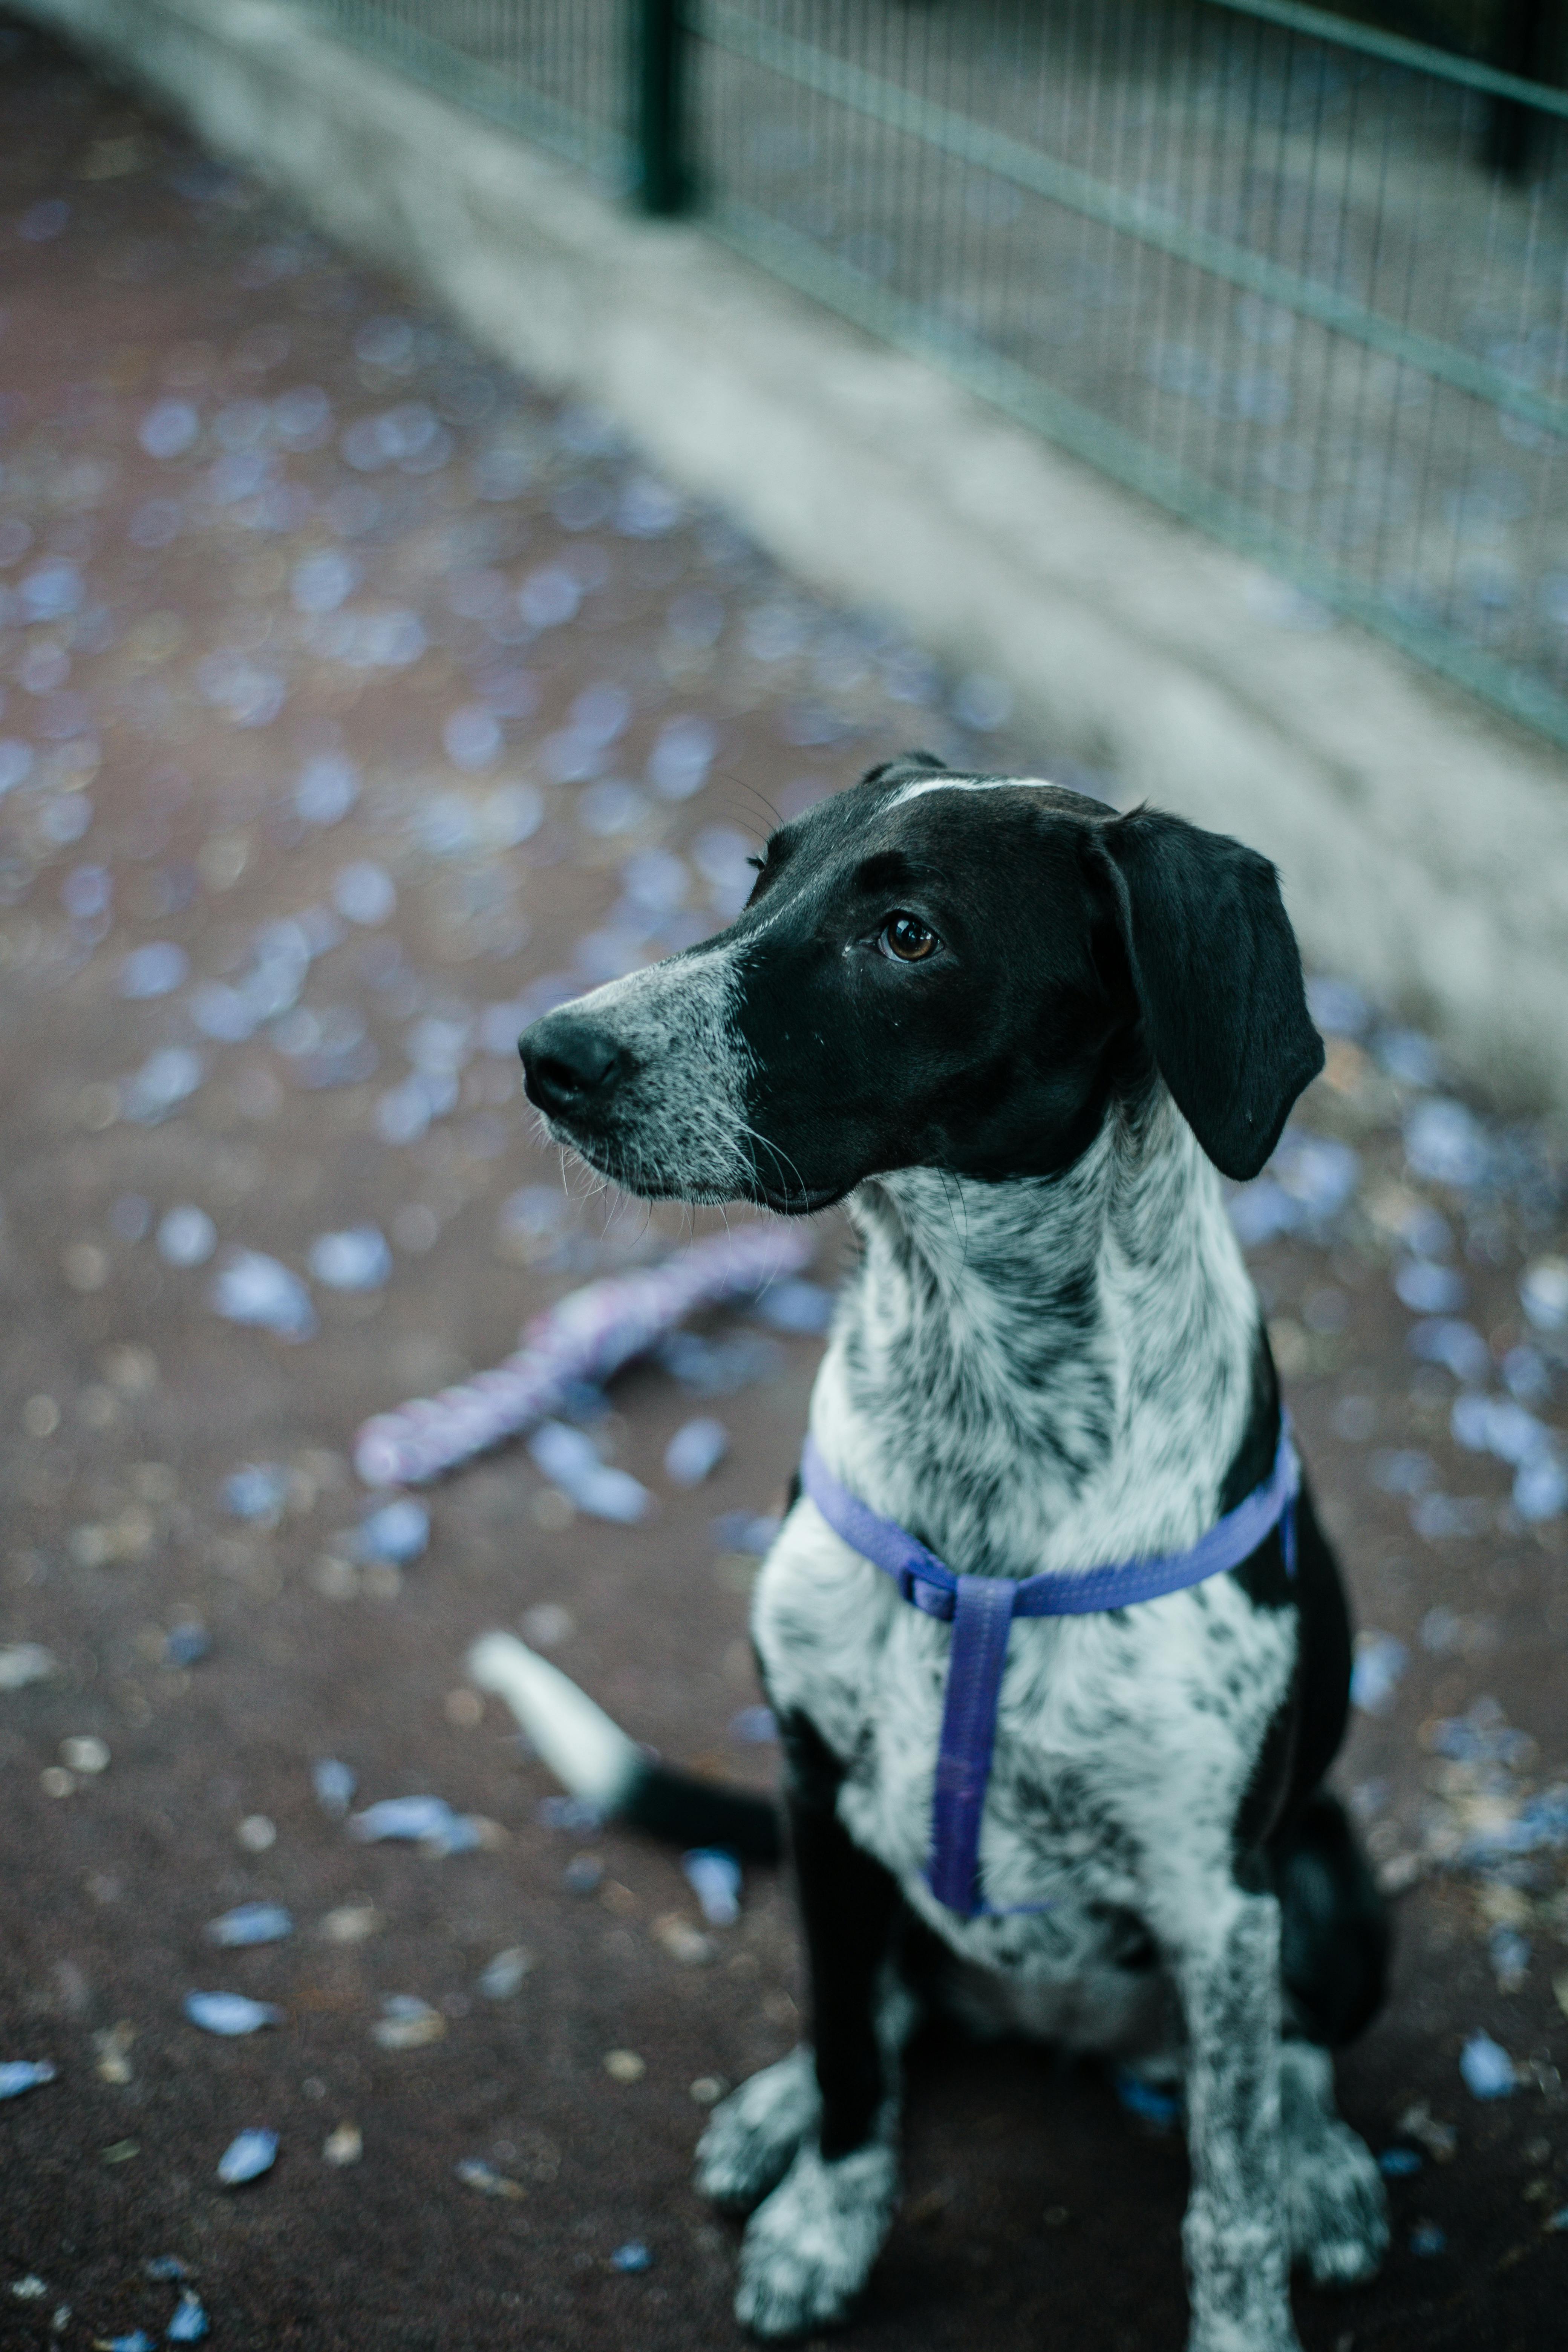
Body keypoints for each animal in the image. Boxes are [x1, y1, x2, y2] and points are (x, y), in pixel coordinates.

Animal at [487, 757, 1382, 2352]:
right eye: (763, 872)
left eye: (906, 936)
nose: (552, 1055)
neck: (986, 1427)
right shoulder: (820, 1800)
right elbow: (849, 2044)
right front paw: (826, 2215)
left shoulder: (1220, 1901)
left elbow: (1228, 2198)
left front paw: (1250, 2303)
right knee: (882, 2018)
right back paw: (779, 2109)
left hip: (1329, 1875)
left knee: (1294, 2062)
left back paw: (1326, 2163)